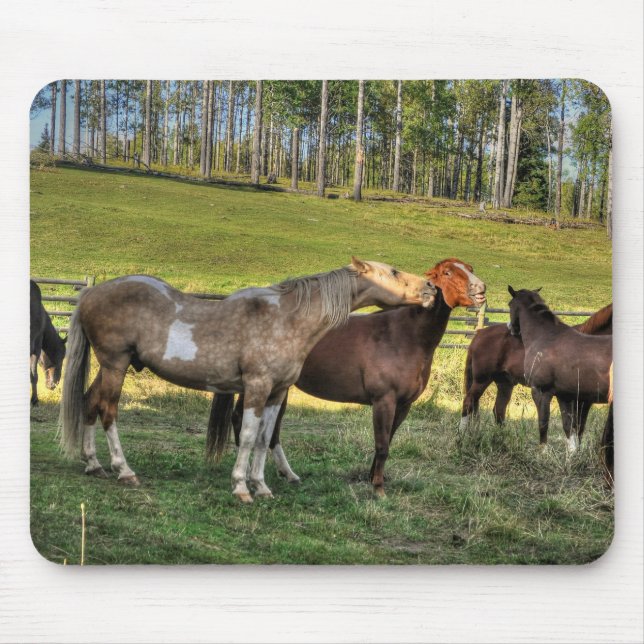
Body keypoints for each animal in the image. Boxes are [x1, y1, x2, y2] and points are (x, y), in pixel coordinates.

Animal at [59, 258, 436, 503]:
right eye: (393, 271)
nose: (431, 288)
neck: (288, 319)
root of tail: (90, 294)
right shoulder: (257, 386)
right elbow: (250, 436)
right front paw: (242, 487)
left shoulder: (277, 392)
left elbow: (265, 439)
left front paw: (262, 486)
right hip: (115, 364)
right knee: (108, 411)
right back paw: (124, 470)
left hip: (112, 366)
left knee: (89, 404)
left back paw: (94, 464)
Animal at [210, 258, 486, 496]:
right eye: (448, 272)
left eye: (470, 268)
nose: (481, 290)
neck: (405, 336)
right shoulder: (384, 401)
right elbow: (382, 446)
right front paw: (378, 489)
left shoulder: (403, 405)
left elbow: (387, 442)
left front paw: (373, 478)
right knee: (242, 421)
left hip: (280, 389)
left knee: (272, 431)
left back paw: (287, 474)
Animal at [460, 302, 612, 444]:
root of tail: (480, 334)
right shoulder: (577, 399)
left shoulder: (584, 401)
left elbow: (578, 429)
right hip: (482, 379)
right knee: (468, 402)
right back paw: (461, 436)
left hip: (505, 383)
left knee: (498, 410)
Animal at [507, 287, 612, 452]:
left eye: (510, 304)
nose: (511, 328)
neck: (545, 337)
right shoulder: (565, 396)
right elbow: (570, 428)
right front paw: (572, 454)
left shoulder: (541, 391)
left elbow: (543, 422)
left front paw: (543, 451)